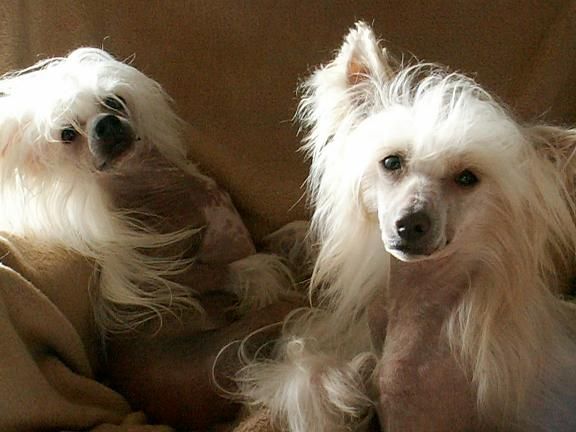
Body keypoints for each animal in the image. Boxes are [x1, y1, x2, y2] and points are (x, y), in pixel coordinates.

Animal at [0, 47, 294, 334]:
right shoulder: (168, 274)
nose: (106, 123)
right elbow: (226, 271)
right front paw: (258, 273)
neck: (150, 180)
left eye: (114, 102)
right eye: (67, 134)